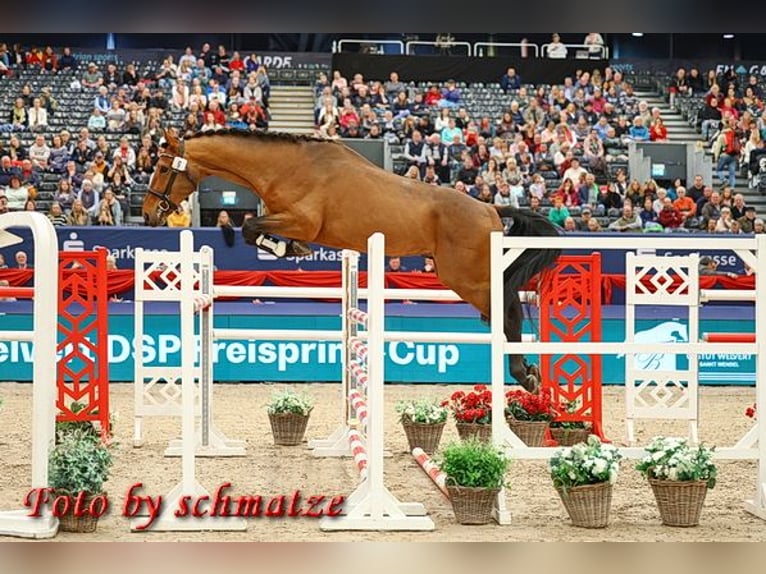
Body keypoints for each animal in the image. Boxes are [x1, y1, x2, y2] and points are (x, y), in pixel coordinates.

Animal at [143, 129, 561, 391]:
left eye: (162, 168)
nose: (148, 214)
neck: (285, 167)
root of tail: (490, 207)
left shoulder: (301, 220)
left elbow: (250, 227)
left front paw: (284, 249)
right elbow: (256, 228)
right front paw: (290, 249)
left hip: (467, 277)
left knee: (508, 312)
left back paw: (523, 373)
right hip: (471, 276)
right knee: (506, 309)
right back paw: (526, 371)